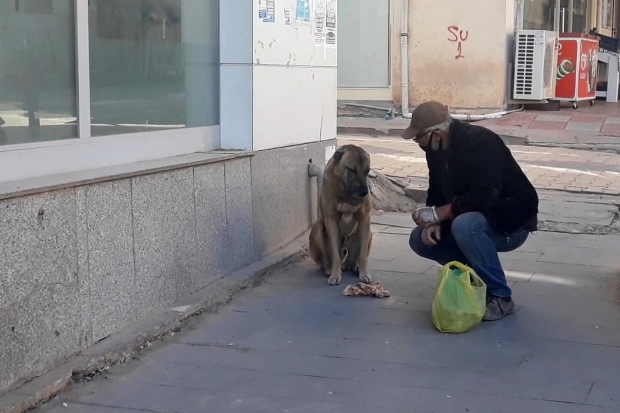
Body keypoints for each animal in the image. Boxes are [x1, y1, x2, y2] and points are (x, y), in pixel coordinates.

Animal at [310, 144, 372, 284]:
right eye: (351, 170)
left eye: (367, 171)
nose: (364, 193)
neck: (346, 194)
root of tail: (346, 264)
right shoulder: (331, 221)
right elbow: (335, 255)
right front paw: (335, 275)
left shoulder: (365, 218)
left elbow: (363, 254)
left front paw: (364, 273)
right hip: (317, 227)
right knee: (325, 260)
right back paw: (329, 269)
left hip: (369, 231)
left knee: (358, 256)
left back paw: (356, 266)